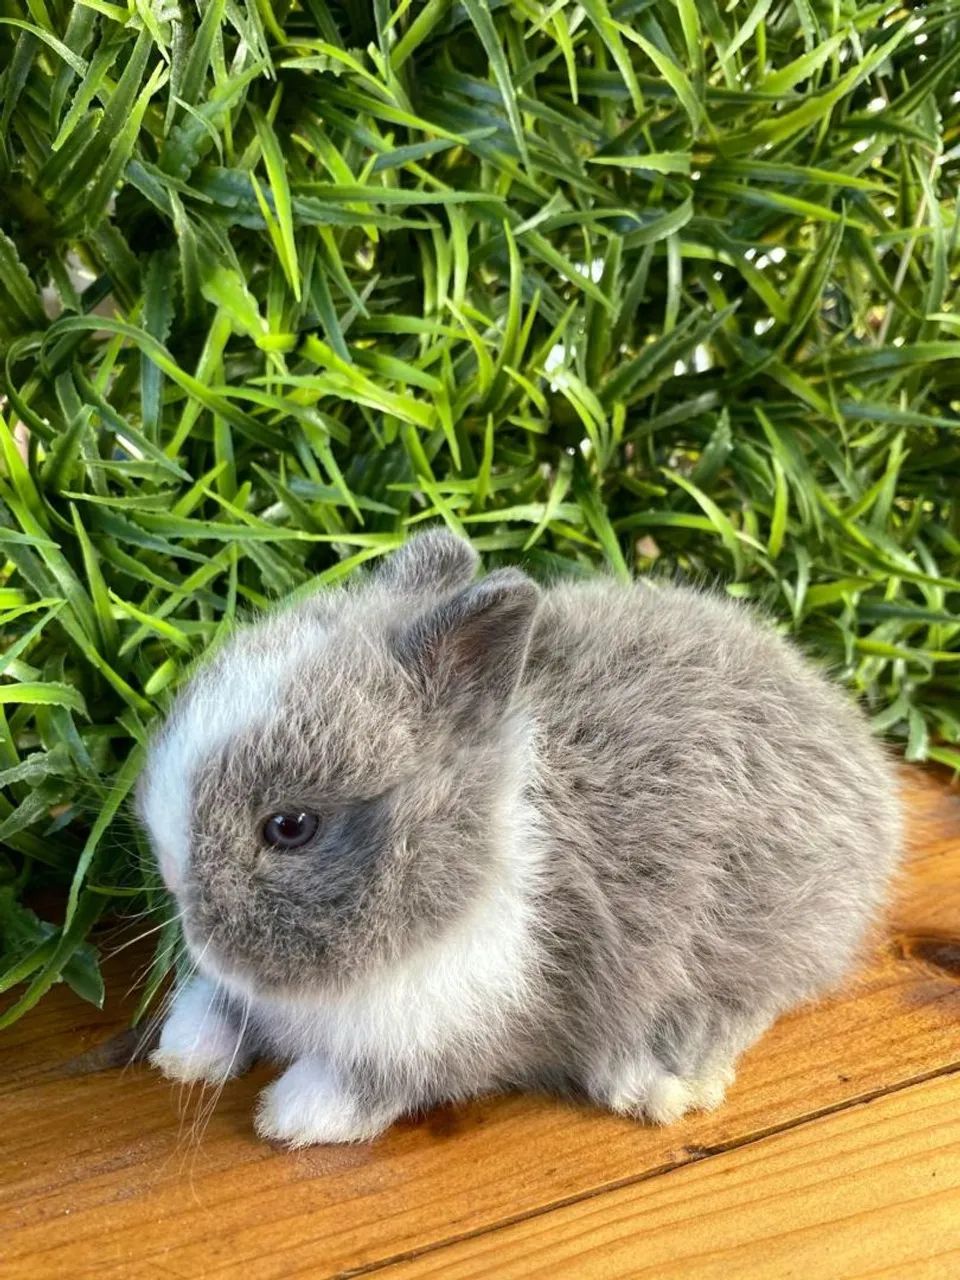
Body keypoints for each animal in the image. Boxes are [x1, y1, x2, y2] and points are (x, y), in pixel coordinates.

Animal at [138, 529, 902, 1146]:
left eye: (290, 827)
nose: (178, 891)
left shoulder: (457, 1027)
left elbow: (372, 1085)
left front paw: (290, 1114)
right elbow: (222, 1002)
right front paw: (183, 1052)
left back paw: (653, 1078)